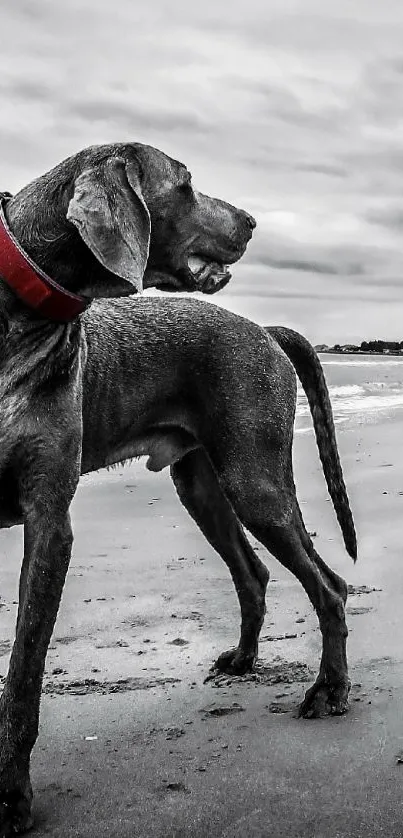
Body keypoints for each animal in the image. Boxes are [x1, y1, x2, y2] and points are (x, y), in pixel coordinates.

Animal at [0, 141, 256, 836]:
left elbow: (24, 674)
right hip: (206, 488)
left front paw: (12, 798)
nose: (252, 220)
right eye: (185, 183)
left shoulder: (47, 520)